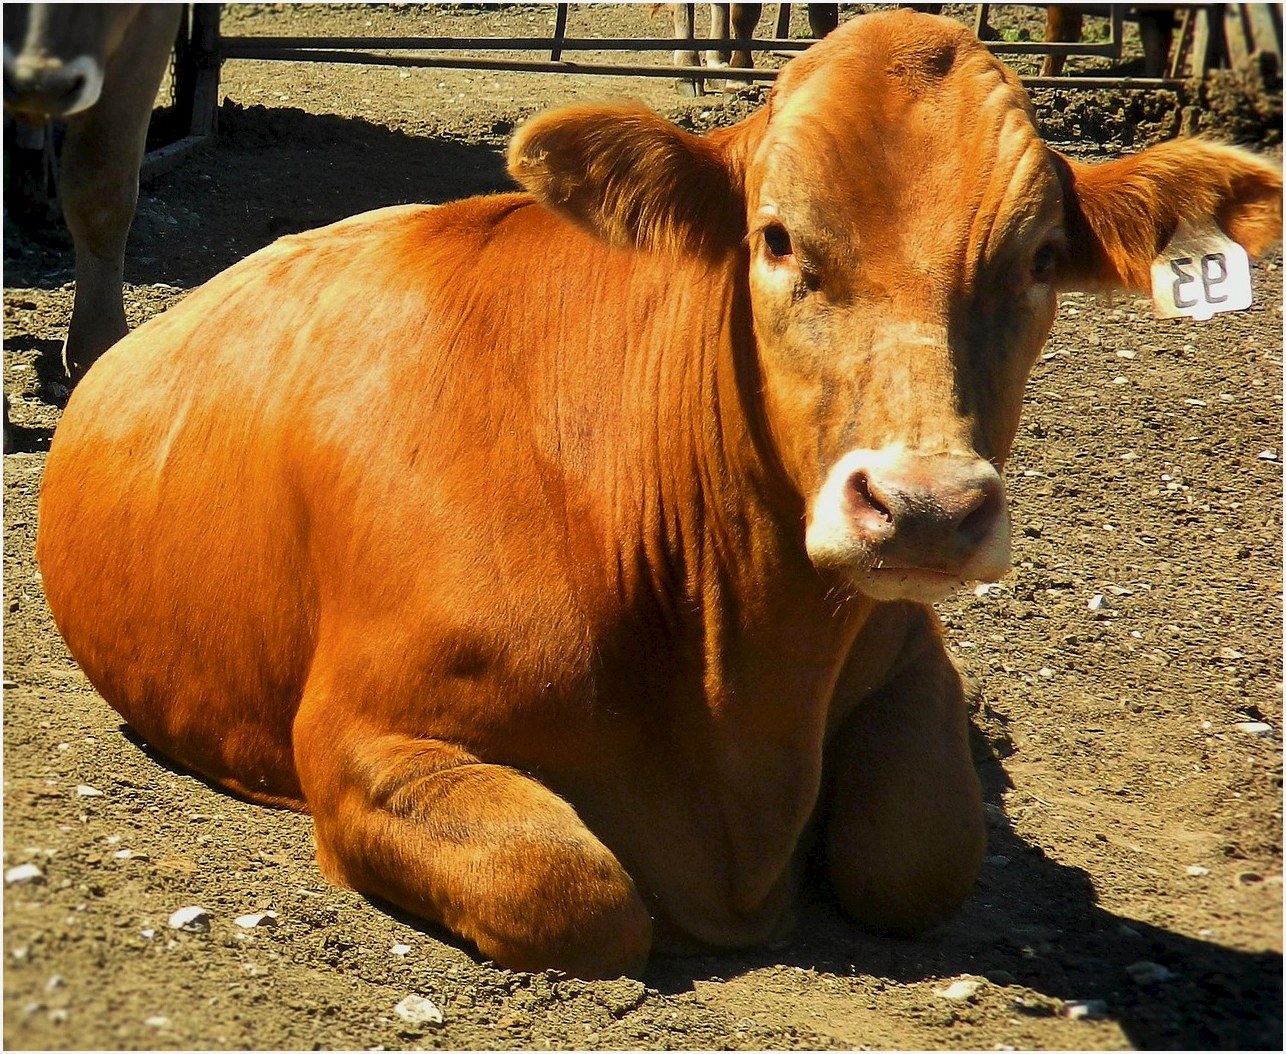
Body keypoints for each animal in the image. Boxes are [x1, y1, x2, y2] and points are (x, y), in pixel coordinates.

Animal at [37, 10, 1281, 980]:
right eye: (774, 237)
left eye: (1034, 259)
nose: (923, 507)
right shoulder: (360, 734)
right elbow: (573, 890)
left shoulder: (904, 647)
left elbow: (919, 852)